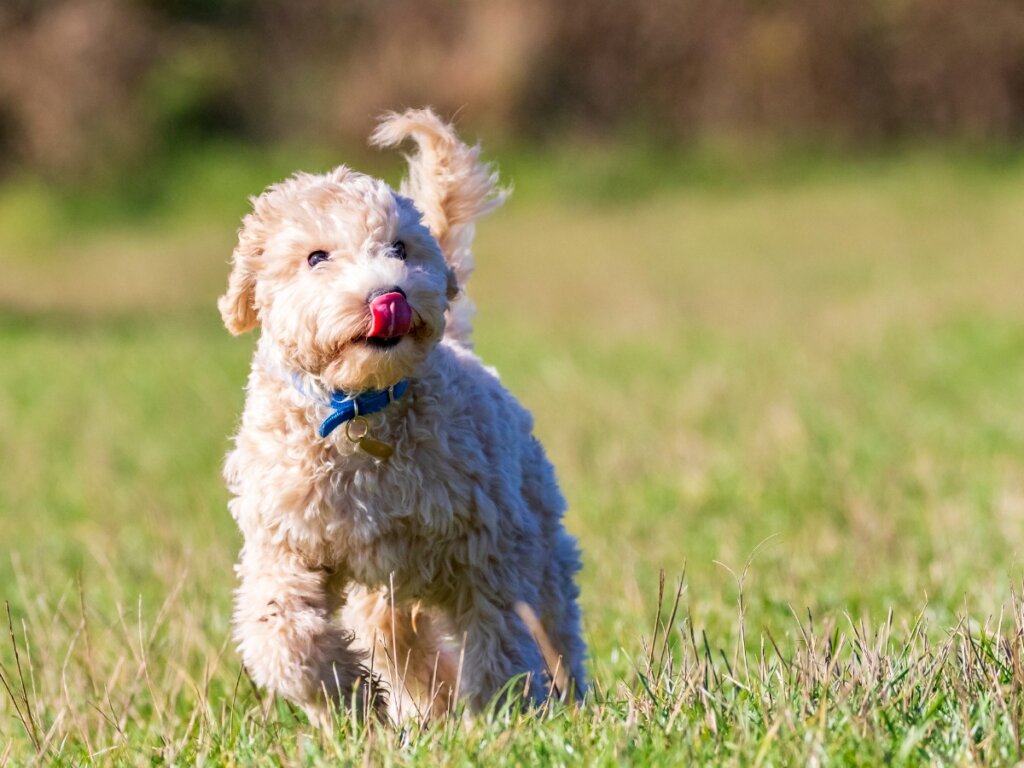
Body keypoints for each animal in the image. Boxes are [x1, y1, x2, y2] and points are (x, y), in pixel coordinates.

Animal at [218, 108, 585, 729]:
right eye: (316, 257)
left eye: (400, 247)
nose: (390, 296)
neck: (362, 412)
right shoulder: (285, 542)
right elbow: (283, 632)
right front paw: (348, 701)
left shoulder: (488, 541)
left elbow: (499, 631)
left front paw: (498, 715)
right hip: (384, 593)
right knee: (401, 643)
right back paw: (426, 708)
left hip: (538, 535)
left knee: (554, 624)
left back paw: (569, 699)